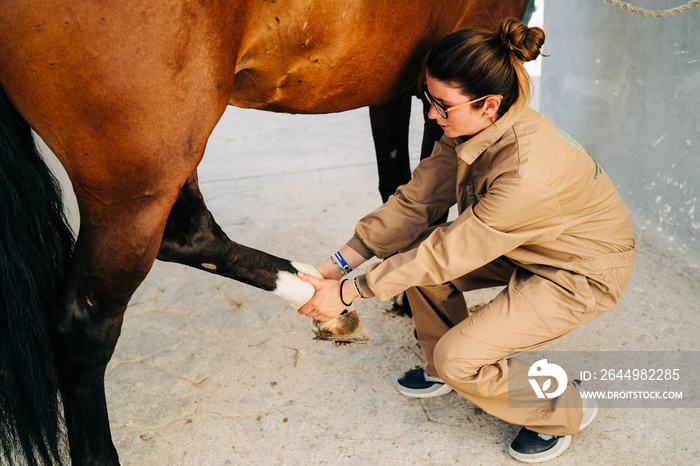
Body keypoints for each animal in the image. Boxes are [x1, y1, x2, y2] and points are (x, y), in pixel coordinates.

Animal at [0, 1, 524, 464]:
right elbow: (430, 193)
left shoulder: (396, 84)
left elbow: (400, 184)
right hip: (142, 174)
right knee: (85, 322)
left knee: (191, 236)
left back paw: (322, 302)